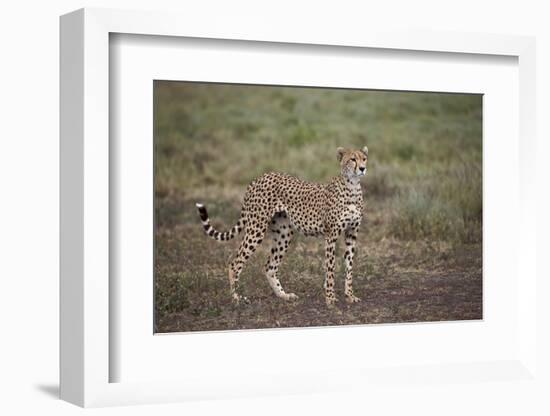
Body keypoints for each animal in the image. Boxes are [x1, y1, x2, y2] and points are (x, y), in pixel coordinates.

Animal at [196, 146, 368, 306]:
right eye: (352, 159)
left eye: (364, 158)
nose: (362, 168)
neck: (352, 187)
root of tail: (260, 177)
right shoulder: (331, 235)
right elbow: (331, 268)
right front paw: (330, 298)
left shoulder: (352, 234)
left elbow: (349, 266)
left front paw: (350, 296)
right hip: (256, 228)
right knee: (235, 263)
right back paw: (236, 298)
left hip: (283, 233)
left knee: (269, 266)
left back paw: (283, 295)